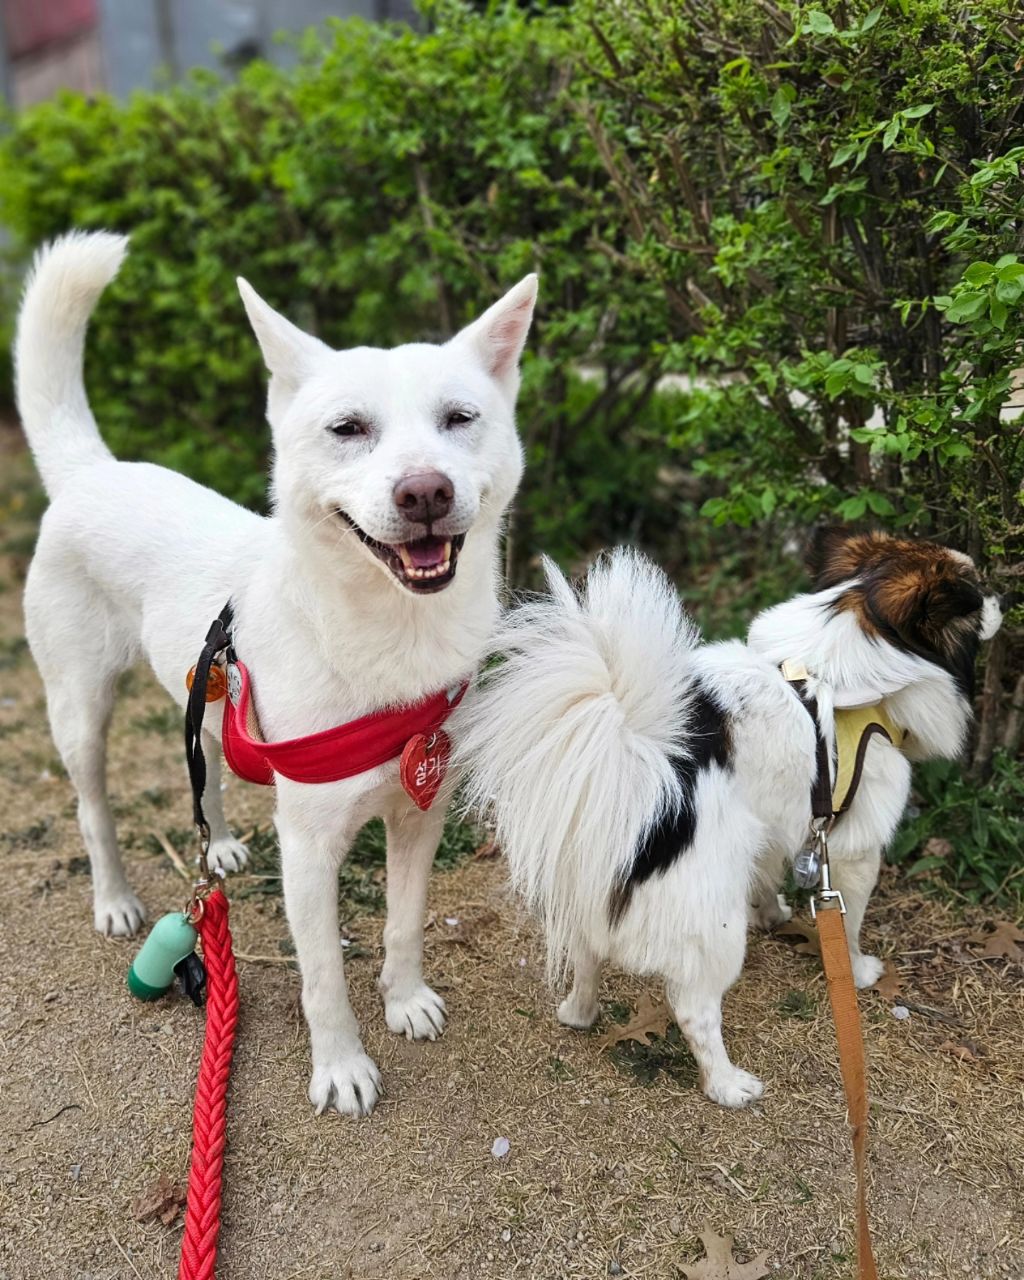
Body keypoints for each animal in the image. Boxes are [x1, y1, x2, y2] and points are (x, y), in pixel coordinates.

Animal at [17, 231, 536, 1117]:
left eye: (460, 419)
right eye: (348, 428)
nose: (425, 491)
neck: (388, 633)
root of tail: (93, 471)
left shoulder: (419, 815)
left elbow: (403, 922)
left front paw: (404, 1000)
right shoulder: (310, 846)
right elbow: (322, 973)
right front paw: (341, 1067)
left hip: (205, 687)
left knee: (205, 765)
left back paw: (220, 847)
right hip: (79, 712)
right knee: (94, 811)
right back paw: (115, 900)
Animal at [454, 533, 1002, 1106]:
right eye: (978, 590)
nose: (1002, 600)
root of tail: (643, 760)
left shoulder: (772, 821)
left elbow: (766, 873)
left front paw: (773, 914)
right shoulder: (854, 846)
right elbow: (848, 925)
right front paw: (858, 971)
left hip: (601, 879)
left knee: (586, 955)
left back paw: (580, 1013)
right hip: (714, 925)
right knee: (694, 1012)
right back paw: (727, 1084)